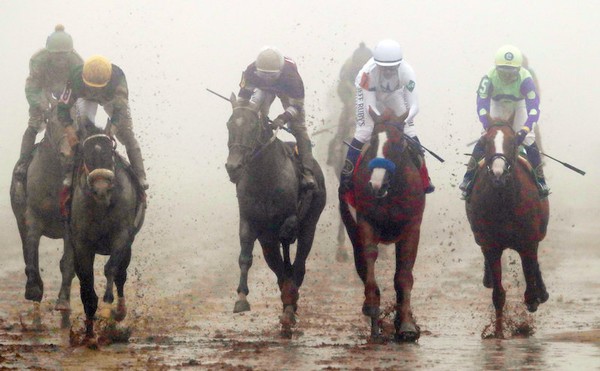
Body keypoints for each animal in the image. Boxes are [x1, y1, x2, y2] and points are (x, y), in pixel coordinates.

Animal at [10, 98, 76, 322]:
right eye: (53, 123)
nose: (68, 153)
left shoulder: (69, 224)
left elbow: (67, 263)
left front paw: (63, 301)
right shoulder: (32, 219)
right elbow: (31, 256)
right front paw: (33, 290)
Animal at [68, 125, 146, 346]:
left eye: (109, 151)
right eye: (86, 153)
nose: (101, 188)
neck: (102, 204)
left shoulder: (122, 236)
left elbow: (112, 269)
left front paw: (111, 305)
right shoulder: (82, 244)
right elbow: (86, 286)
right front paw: (89, 336)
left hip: (128, 245)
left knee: (121, 274)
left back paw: (119, 311)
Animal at [225, 93, 326, 338]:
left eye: (253, 127)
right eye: (229, 125)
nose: (233, 167)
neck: (265, 176)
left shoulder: (289, 217)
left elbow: (288, 231)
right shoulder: (251, 222)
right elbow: (246, 256)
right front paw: (241, 298)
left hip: (311, 224)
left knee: (298, 265)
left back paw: (290, 307)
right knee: (281, 269)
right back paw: (289, 304)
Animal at [340, 109, 424, 342]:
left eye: (397, 142)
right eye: (373, 140)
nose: (375, 183)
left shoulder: (411, 227)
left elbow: (404, 276)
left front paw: (406, 324)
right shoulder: (366, 222)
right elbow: (369, 256)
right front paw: (371, 303)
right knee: (361, 263)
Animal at [466, 121, 552, 338]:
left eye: (513, 142)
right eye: (485, 143)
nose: (498, 173)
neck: (504, 200)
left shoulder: (528, 243)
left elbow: (530, 287)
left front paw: (535, 299)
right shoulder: (491, 246)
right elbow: (498, 294)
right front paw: (497, 333)